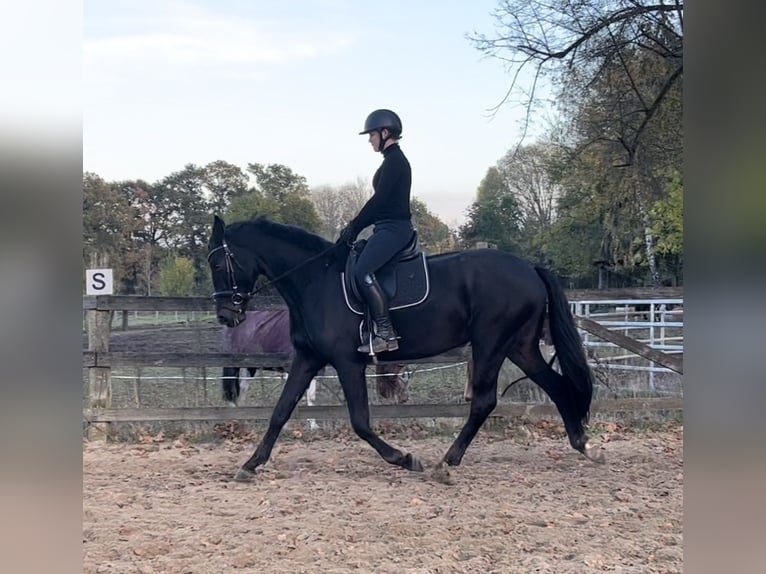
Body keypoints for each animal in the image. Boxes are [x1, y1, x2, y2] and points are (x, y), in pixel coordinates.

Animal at [207, 216, 604, 482]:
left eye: (217, 262)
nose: (226, 315)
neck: (315, 282)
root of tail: (529, 268)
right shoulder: (308, 359)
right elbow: (280, 412)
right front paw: (250, 464)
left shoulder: (348, 362)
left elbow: (360, 422)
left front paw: (404, 458)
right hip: (519, 346)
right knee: (557, 386)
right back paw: (581, 442)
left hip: (491, 343)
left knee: (484, 401)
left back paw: (446, 463)